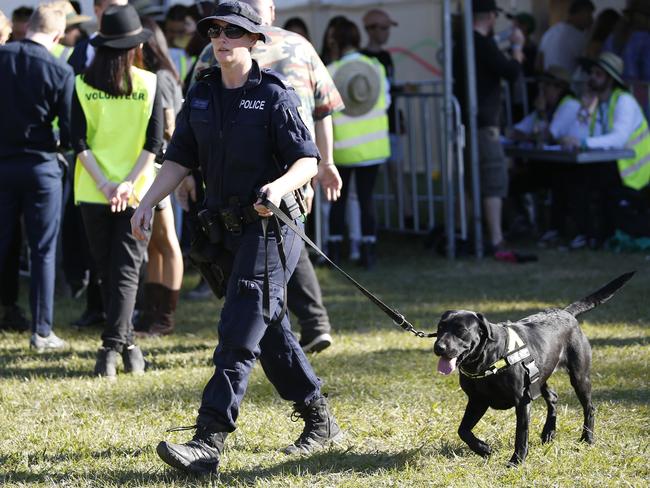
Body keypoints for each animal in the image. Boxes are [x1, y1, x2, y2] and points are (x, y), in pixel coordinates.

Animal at [432, 270, 632, 466]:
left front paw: (517, 460)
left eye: (460, 330)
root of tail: (566, 313)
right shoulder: (477, 400)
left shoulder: (522, 400)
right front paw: (483, 448)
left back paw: (587, 439)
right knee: (553, 397)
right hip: (539, 376)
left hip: (579, 377)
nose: (438, 347)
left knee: (589, 407)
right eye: (440, 328)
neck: (488, 359)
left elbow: (521, 434)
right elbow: (463, 430)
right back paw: (548, 432)